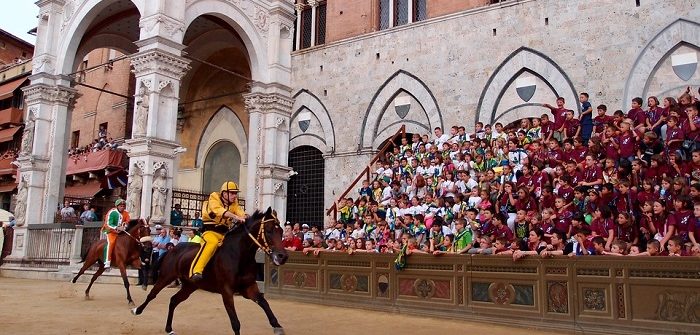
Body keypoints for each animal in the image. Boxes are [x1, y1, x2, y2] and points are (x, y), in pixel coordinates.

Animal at [133, 207, 288, 335]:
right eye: (269, 230)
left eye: (281, 231)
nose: (283, 256)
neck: (239, 255)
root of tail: (172, 249)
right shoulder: (227, 291)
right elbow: (235, 323)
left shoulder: (249, 288)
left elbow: (265, 303)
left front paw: (277, 326)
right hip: (166, 277)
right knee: (152, 295)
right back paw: (137, 310)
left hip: (190, 286)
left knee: (174, 300)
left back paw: (169, 328)